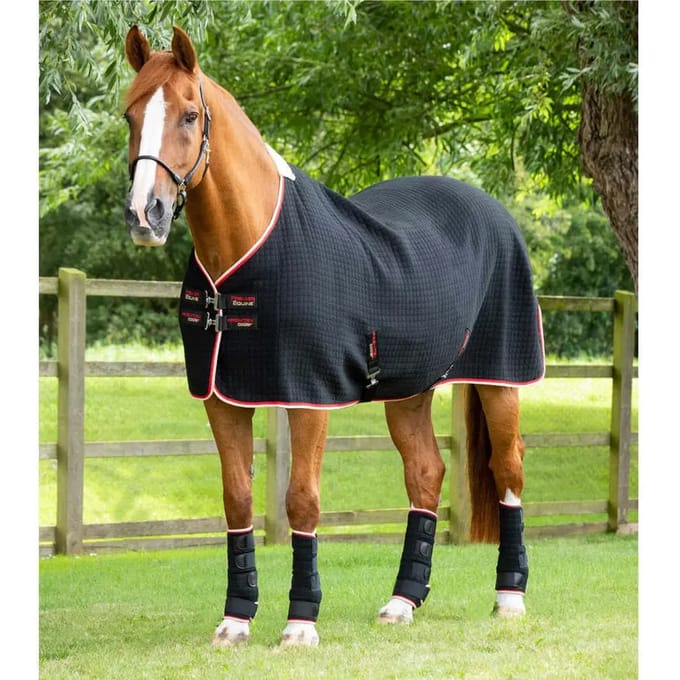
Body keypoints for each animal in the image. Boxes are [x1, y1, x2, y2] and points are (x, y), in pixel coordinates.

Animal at [123, 25, 544, 647]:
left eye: (190, 115)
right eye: (130, 115)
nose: (144, 214)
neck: (250, 249)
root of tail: (490, 208)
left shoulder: (308, 396)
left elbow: (302, 501)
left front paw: (300, 623)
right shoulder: (221, 398)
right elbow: (237, 499)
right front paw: (235, 619)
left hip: (501, 379)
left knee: (508, 469)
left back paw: (510, 597)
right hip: (409, 390)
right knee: (426, 475)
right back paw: (402, 601)